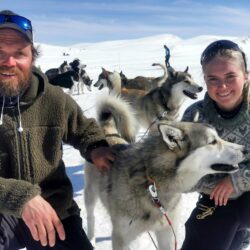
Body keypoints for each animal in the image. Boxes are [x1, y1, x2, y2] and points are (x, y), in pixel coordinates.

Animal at [85, 96, 245, 250]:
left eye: (218, 137)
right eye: (212, 142)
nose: (244, 149)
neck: (152, 183)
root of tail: (107, 132)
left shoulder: (166, 232)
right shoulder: (121, 238)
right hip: (91, 197)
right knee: (90, 218)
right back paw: (91, 240)